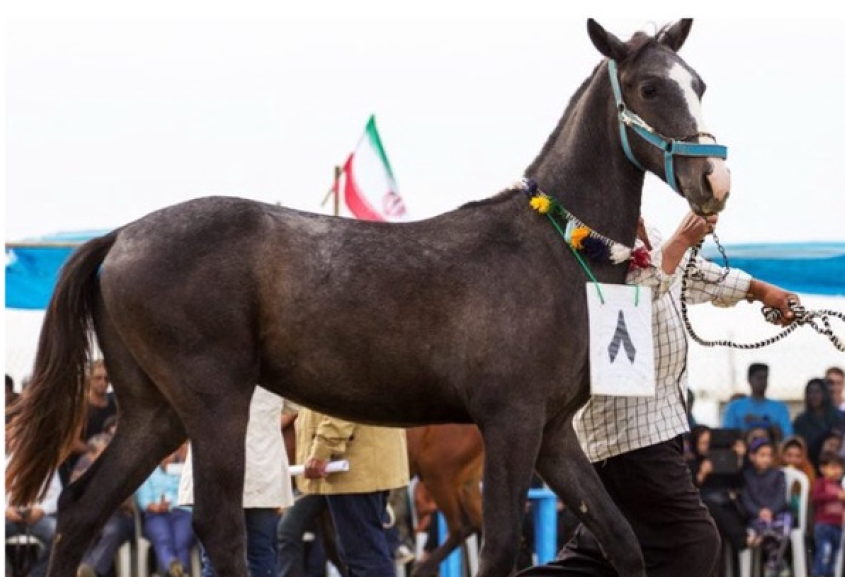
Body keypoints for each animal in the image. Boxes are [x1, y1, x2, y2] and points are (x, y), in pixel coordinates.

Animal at [6, 19, 728, 576]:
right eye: (649, 86)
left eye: (698, 83)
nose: (713, 181)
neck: (554, 242)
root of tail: (119, 236)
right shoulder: (511, 421)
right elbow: (499, 546)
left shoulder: (551, 432)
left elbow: (621, 539)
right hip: (212, 400)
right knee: (218, 525)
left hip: (153, 411)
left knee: (81, 509)